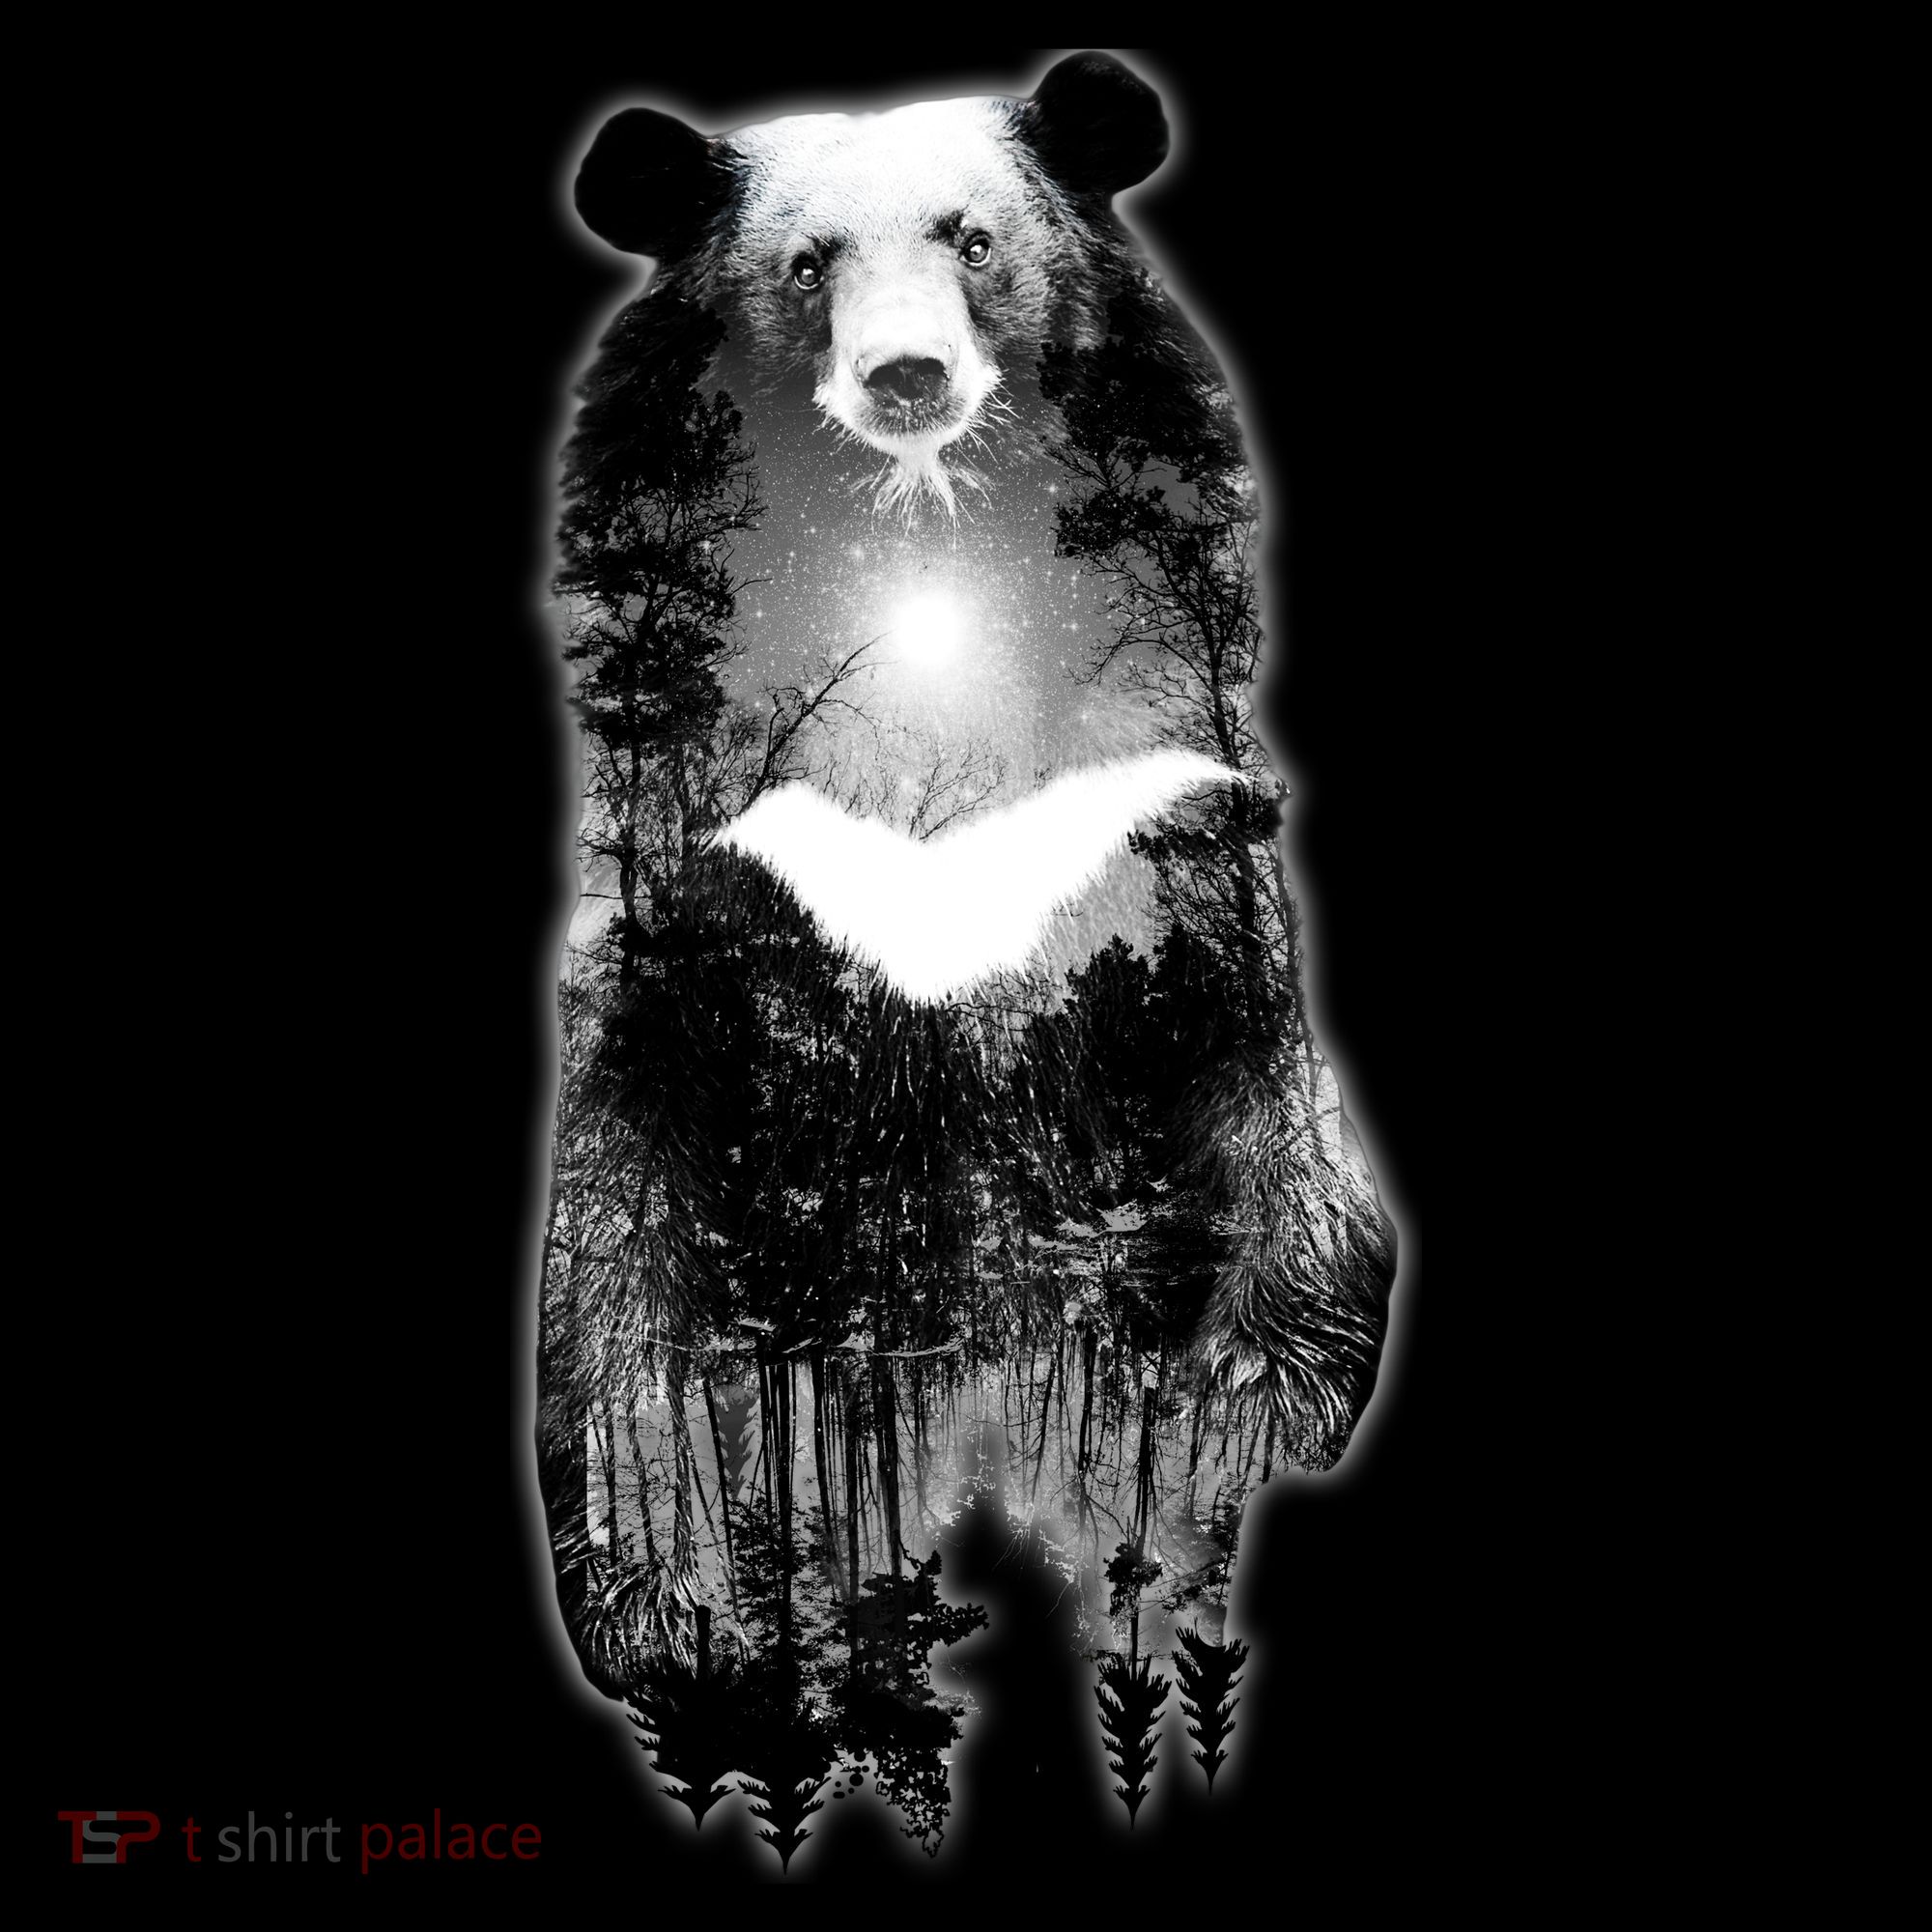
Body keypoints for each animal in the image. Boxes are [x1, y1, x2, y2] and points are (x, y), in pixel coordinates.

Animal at [539, 53, 1396, 1866]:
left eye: (973, 234)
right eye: (806, 263)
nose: (908, 378)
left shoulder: (1180, 886)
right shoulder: (682, 952)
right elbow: (645, 1289)